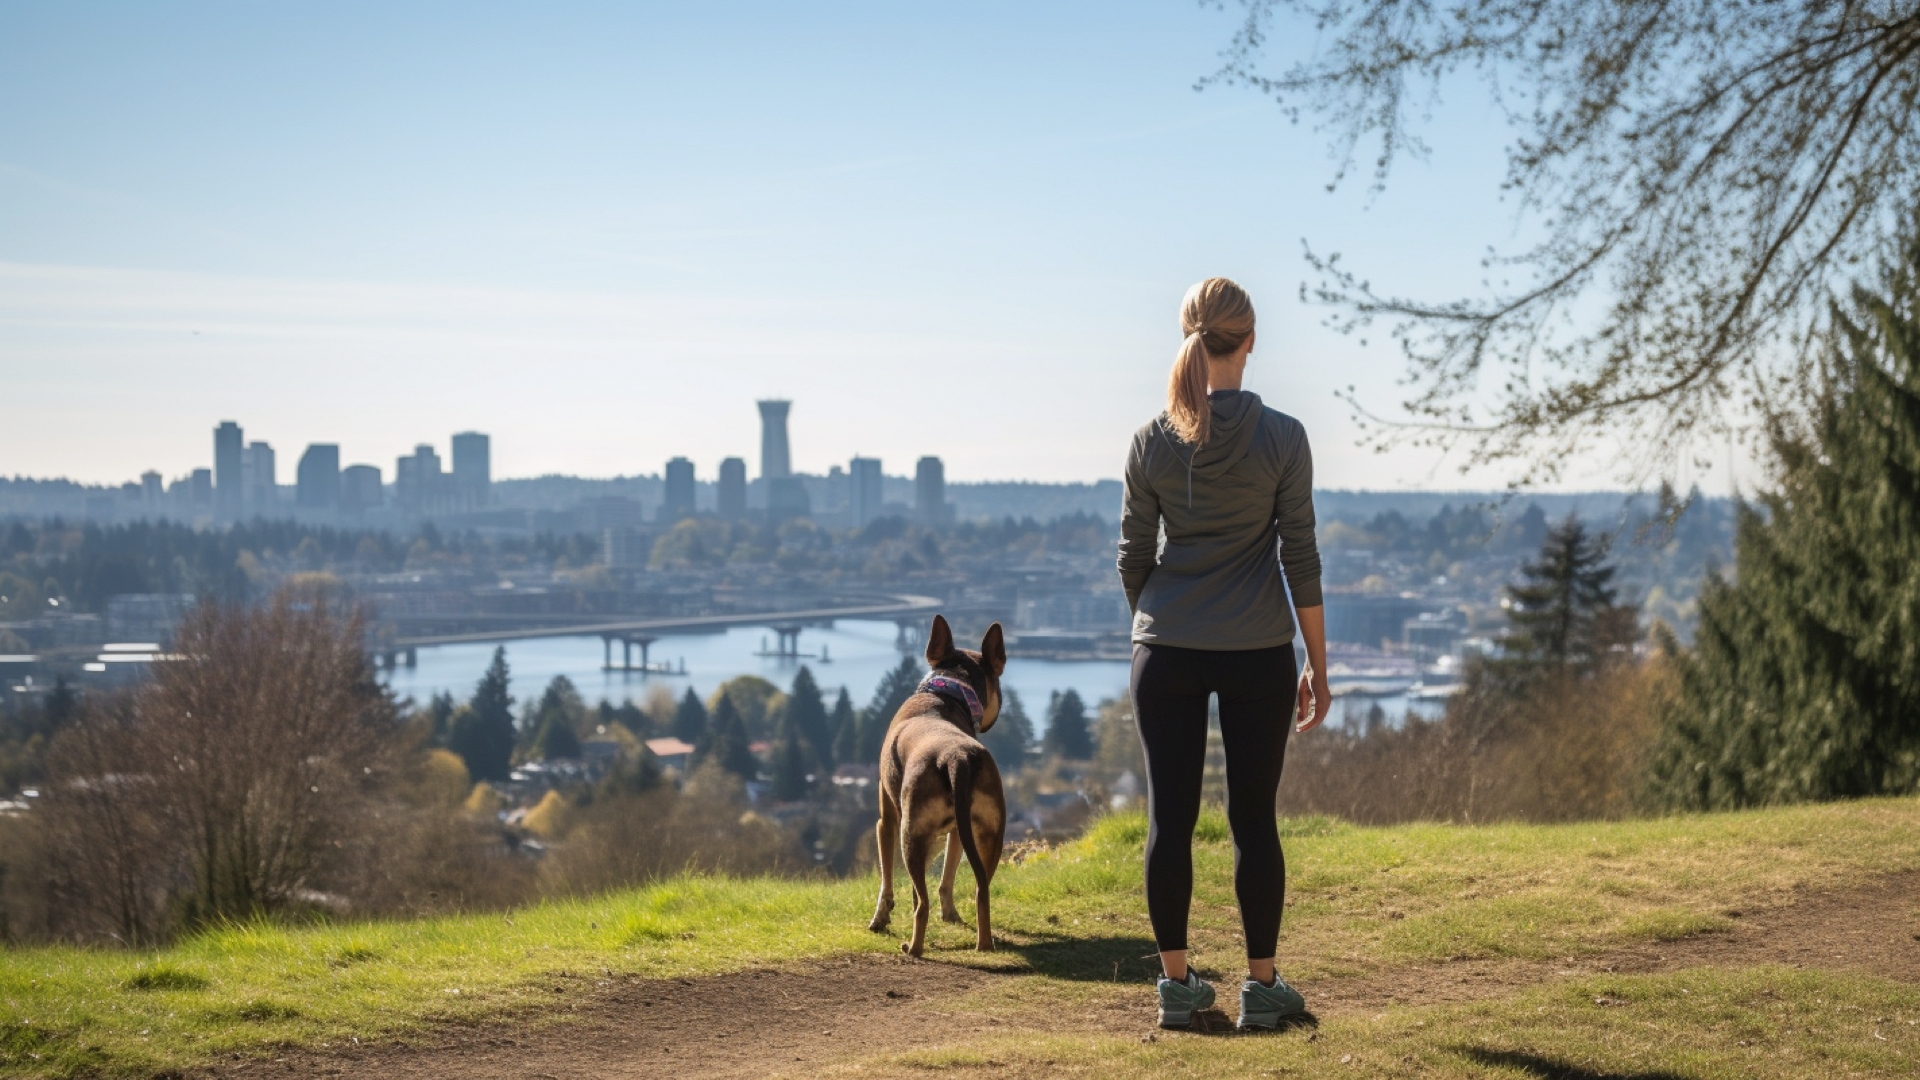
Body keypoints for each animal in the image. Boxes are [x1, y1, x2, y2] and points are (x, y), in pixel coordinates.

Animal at [871, 611, 1013, 953]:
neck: (946, 693)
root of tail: (956, 758)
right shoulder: (958, 833)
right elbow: (947, 878)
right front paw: (950, 915)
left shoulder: (887, 820)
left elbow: (887, 880)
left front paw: (880, 918)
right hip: (990, 832)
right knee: (981, 890)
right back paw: (984, 943)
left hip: (911, 832)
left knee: (922, 904)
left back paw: (914, 948)